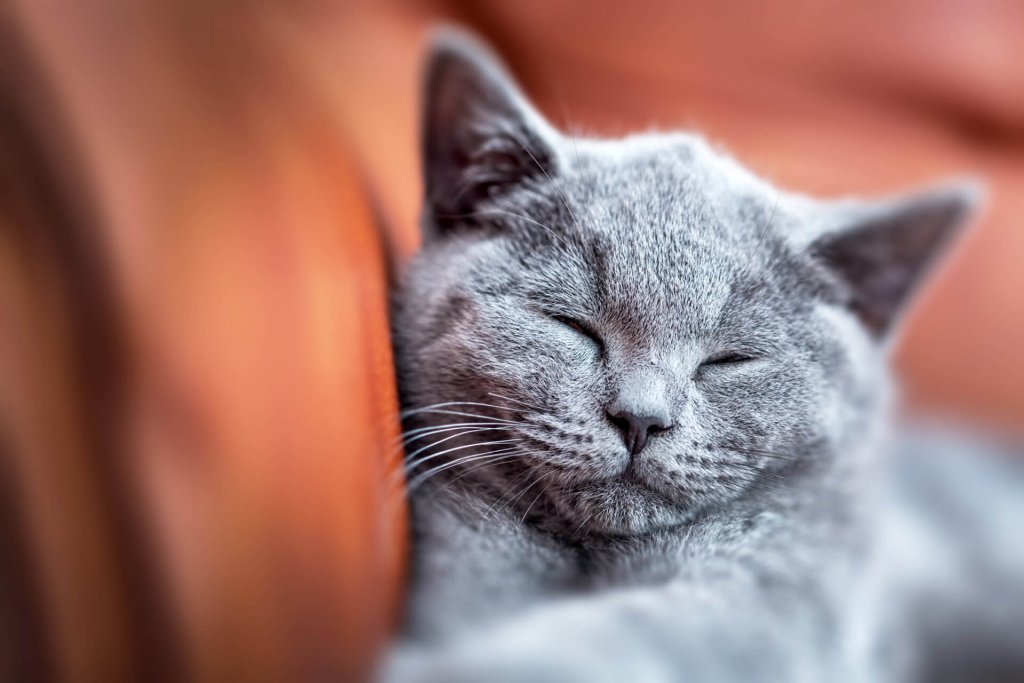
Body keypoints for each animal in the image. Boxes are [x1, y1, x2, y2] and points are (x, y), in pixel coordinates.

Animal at [382, 28, 1024, 683]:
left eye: (729, 360)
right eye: (572, 325)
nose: (640, 418)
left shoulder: (773, 596)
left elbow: (638, 635)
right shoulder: (464, 533)